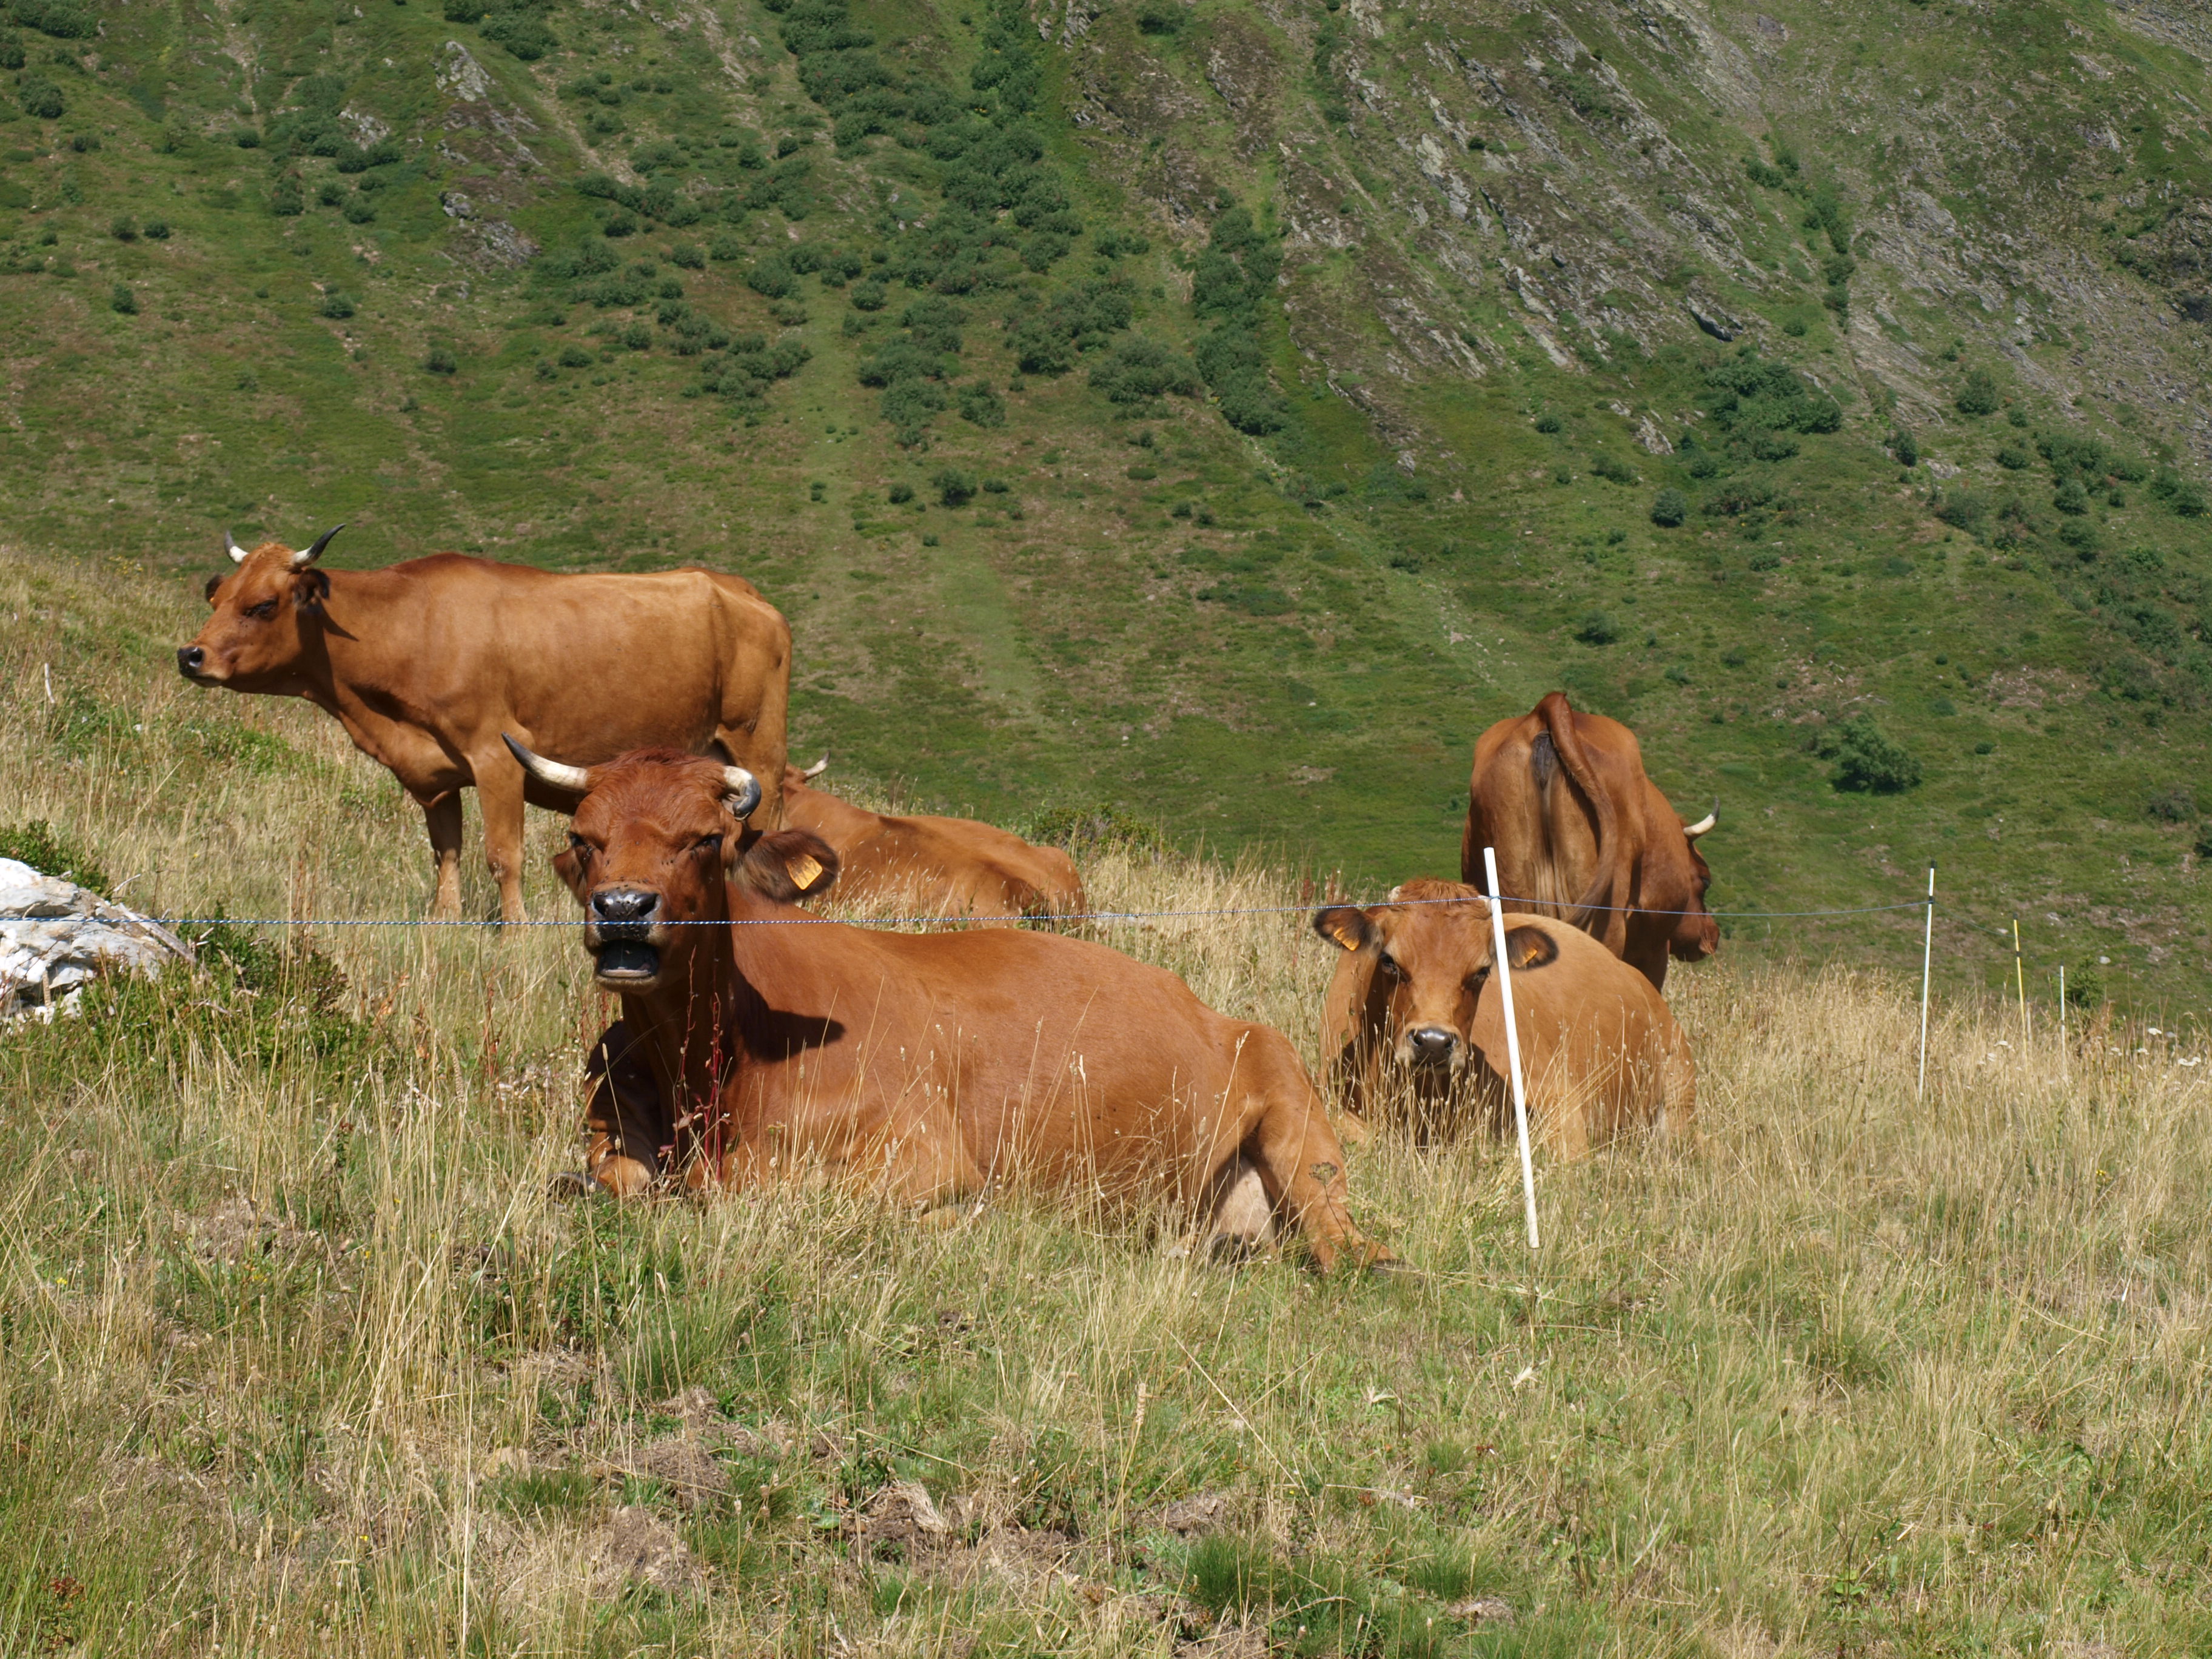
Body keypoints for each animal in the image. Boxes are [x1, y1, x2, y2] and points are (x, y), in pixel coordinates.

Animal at [181, 528, 791, 924]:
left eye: (263, 605)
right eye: (217, 596)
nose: (191, 655)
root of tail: (736, 588)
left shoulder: (497, 757)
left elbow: (503, 855)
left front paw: (515, 932)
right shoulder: (435, 772)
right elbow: (446, 851)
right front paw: (444, 920)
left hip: (756, 749)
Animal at [509, 739, 1389, 1274]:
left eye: (705, 839)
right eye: (584, 838)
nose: (624, 910)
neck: (712, 1064)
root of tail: (1217, 1013)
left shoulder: (921, 1157)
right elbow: (608, 1179)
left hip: (1299, 1121)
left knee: (1345, 1247)